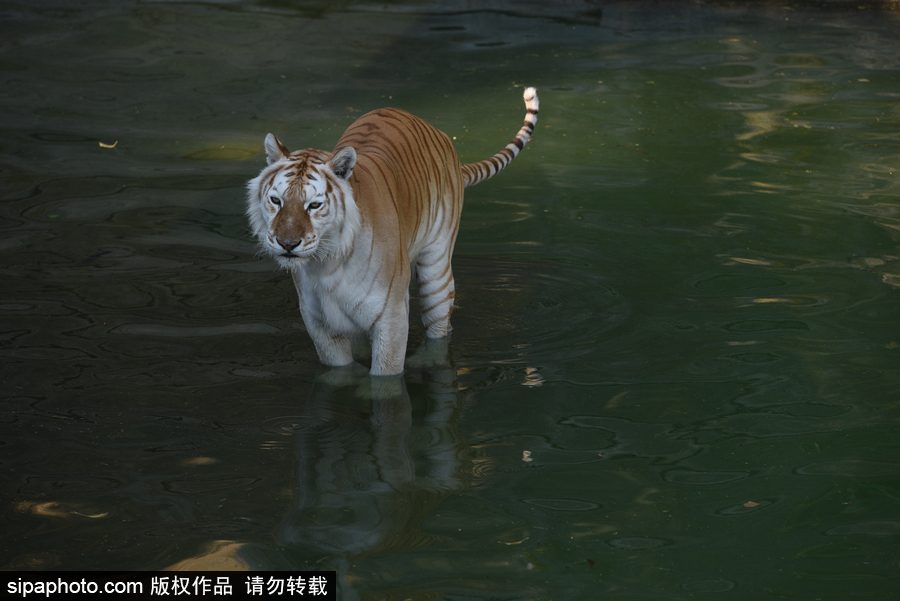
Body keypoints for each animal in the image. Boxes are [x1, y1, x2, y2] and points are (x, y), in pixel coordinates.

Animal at [246, 86, 536, 376]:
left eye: (314, 205)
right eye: (276, 201)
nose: (287, 243)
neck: (327, 263)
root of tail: (440, 134)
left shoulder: (391, 317)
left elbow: (385, 379)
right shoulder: (319, 324)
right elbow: (340, 372)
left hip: (436, 272)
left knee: (441, 328)